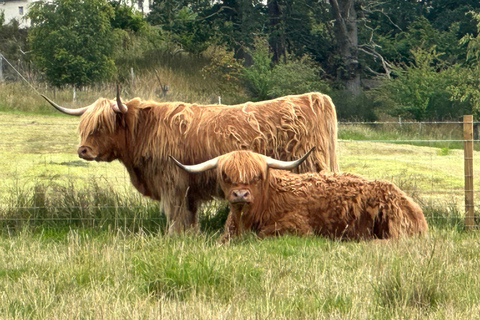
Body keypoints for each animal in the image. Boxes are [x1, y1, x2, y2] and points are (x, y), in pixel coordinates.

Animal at [44, 90, 338, 232]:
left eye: (101, 126)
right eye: (84, 125)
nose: (83, 150)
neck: (145, 131)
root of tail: (314, 97)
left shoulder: (172, 183)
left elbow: (176, 216)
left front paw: (174, 237)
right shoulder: (188, 188)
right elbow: (190, 217)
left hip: (307, 169)